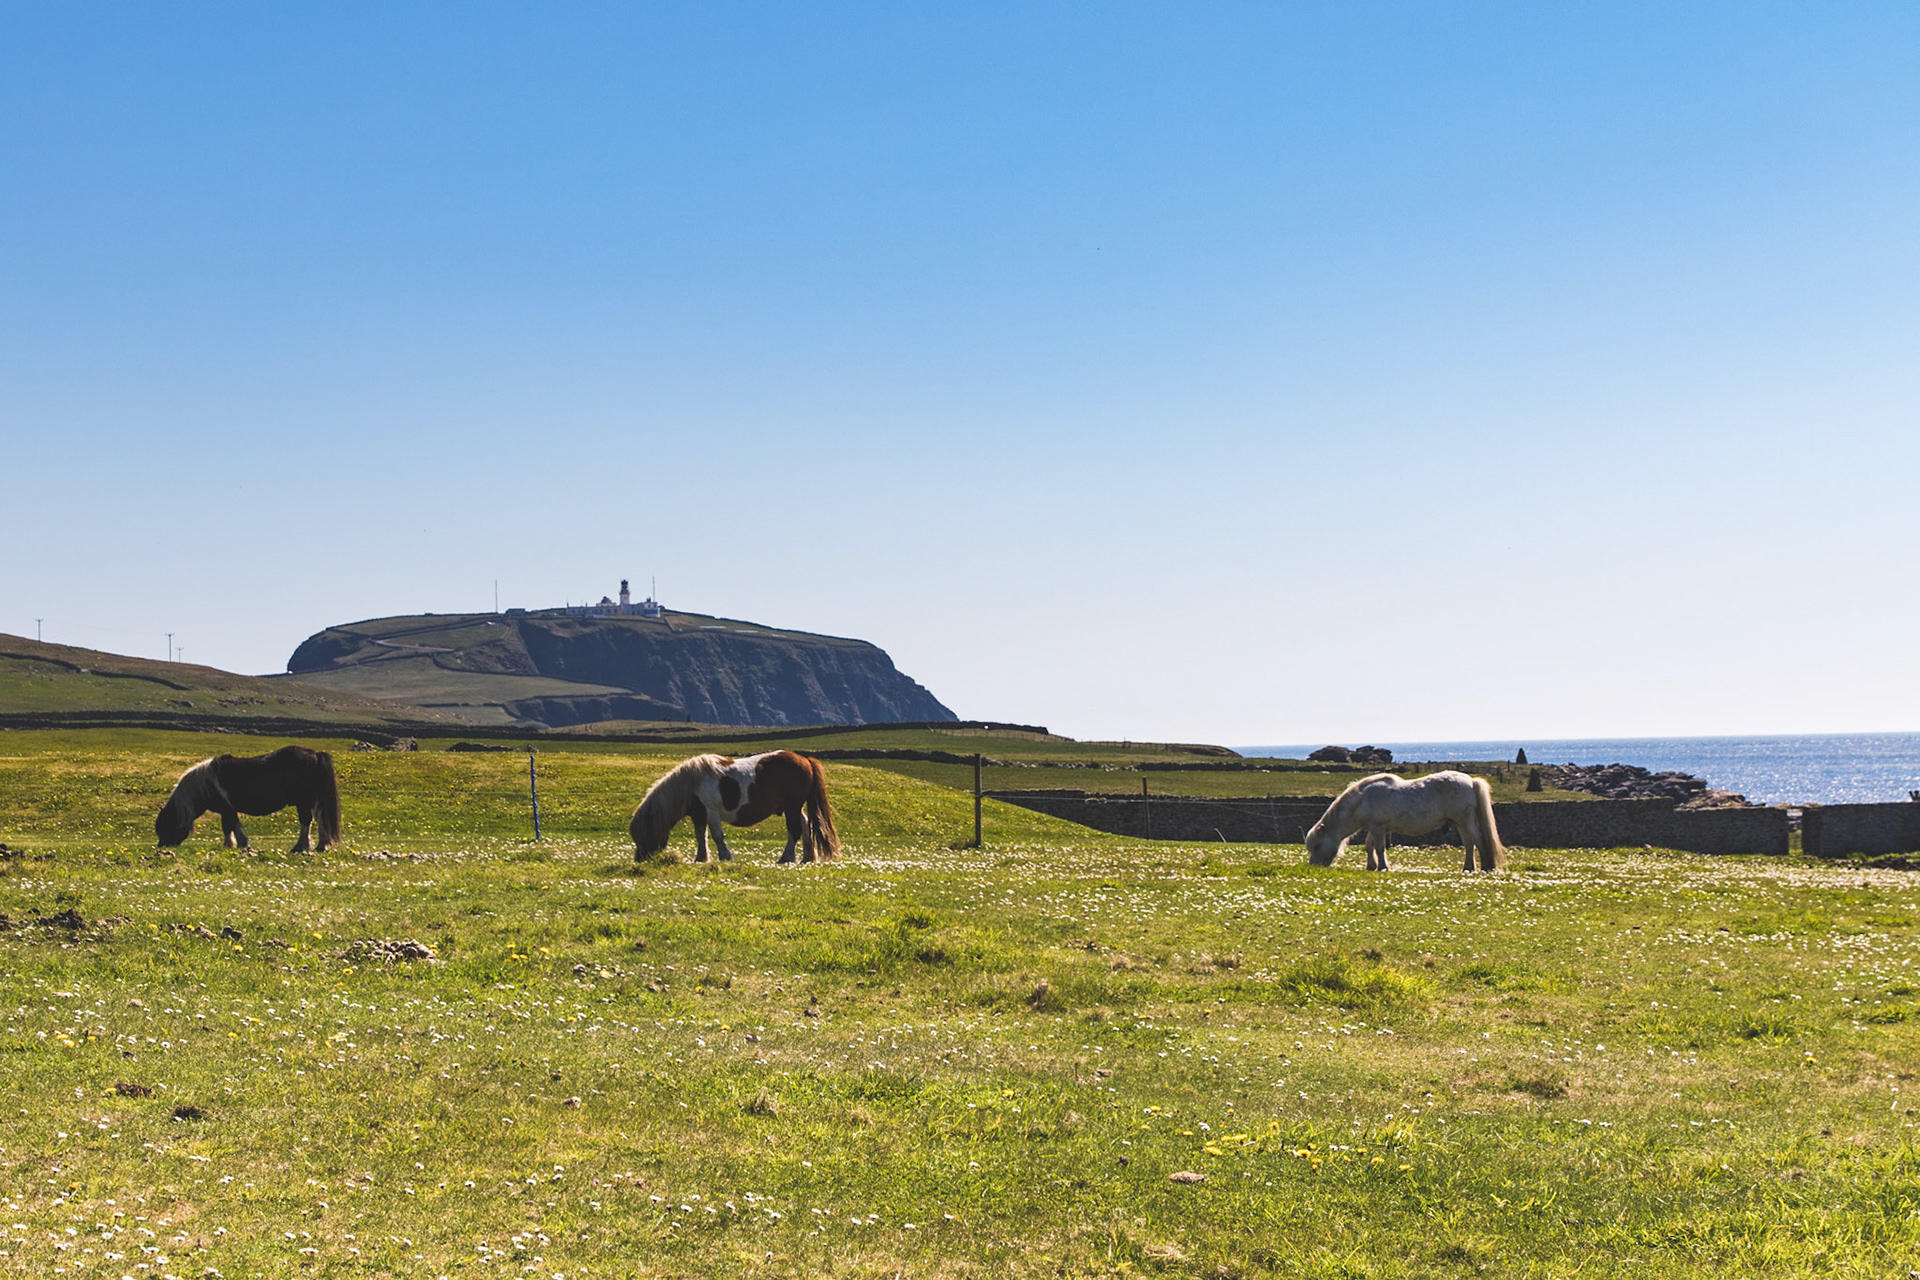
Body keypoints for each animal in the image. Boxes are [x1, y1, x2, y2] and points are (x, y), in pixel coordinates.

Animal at [155, 746, 342, 853]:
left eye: (166, 826)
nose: (161, 846)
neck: (206, 783)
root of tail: (315, 754)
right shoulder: (226, 810)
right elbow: (227, 827)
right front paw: (230, 845)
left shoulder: (228, 809)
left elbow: (232, 825)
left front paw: (240, 844)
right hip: (312, 801)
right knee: (320, 820)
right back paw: (321, 846)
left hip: (303, 802)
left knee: (306, 821)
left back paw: (300, 847)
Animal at [630, 750, 840, 864]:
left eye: (645, 832)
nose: (639, 858)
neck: (692, 783)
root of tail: (806, 760)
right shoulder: (698, 815)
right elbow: (700, 835)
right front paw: (701, 858)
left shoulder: (711, 811)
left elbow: (716, 835)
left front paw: (725, 856)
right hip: (794, 808)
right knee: (805, 827)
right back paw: (807, 857)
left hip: (792, 807)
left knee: (794, 831)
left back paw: (786, 858)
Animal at [1304, 770, 1505, 872]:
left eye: (1317, 845)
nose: (1313, 865)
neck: (1362, 799)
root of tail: (1470, 780)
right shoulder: (1374, 828)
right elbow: (1369, 846)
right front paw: (1371, 866)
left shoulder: (1378, 828)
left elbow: (1379, 848)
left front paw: (1382, 867)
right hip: (1460, 823)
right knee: (1469, 844)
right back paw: (1468, 868)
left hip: (1465, 821)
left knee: (1478, 840)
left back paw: (1486, 866)